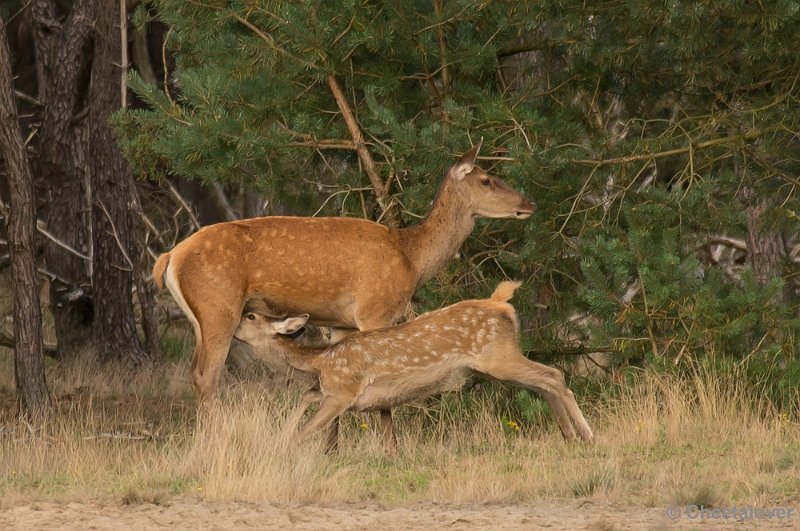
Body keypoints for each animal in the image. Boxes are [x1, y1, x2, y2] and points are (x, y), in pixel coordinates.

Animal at [153, 139, 536, 402]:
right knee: (206, 376)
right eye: (486, 180)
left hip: (199, 318)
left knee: (194, 373)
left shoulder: (342, 323)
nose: (529, 203)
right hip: (218, 306)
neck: (411, 257)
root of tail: (168, 258)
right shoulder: (376, 309)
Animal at [231, 282, 592, 448]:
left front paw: (285, 449)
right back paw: (569, 435)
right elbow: (306, 396)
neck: (320, 360)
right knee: (543, 383)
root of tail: (500, 302)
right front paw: (280, 439)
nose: (231, 324)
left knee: (553, 374)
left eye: (250, 316)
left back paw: (586, 434)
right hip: (496, 364)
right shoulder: (340, 392)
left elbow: (308, 427)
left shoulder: (343, 391)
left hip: (497, 356)